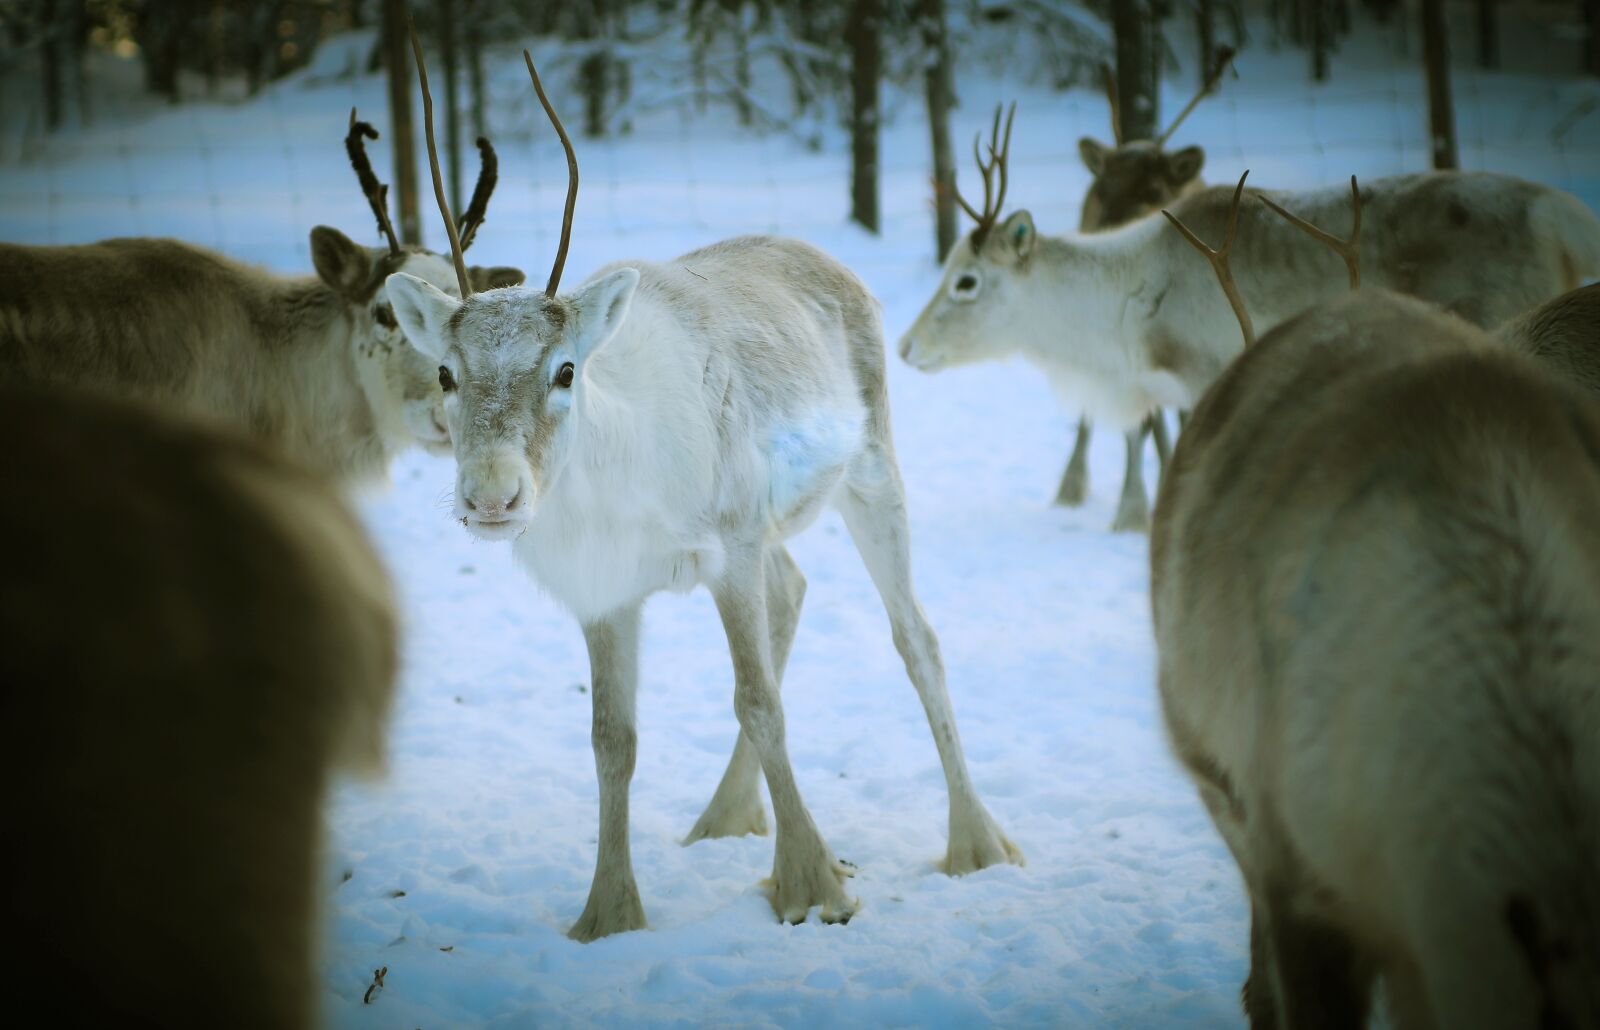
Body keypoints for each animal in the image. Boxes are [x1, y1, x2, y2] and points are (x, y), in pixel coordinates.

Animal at [384, 35, 1021, 943]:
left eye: (565, 369)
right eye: (445, 371)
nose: (492, 497)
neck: (615, 483)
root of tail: (829, 261)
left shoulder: (731, 548)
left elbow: (759, 701)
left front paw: (814, 886)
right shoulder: (607, 596)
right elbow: (611, 739)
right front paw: (608, 914)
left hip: (870, 476)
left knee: (916, 639)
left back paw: (976, 843)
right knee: (795, 589)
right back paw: (722, 818)